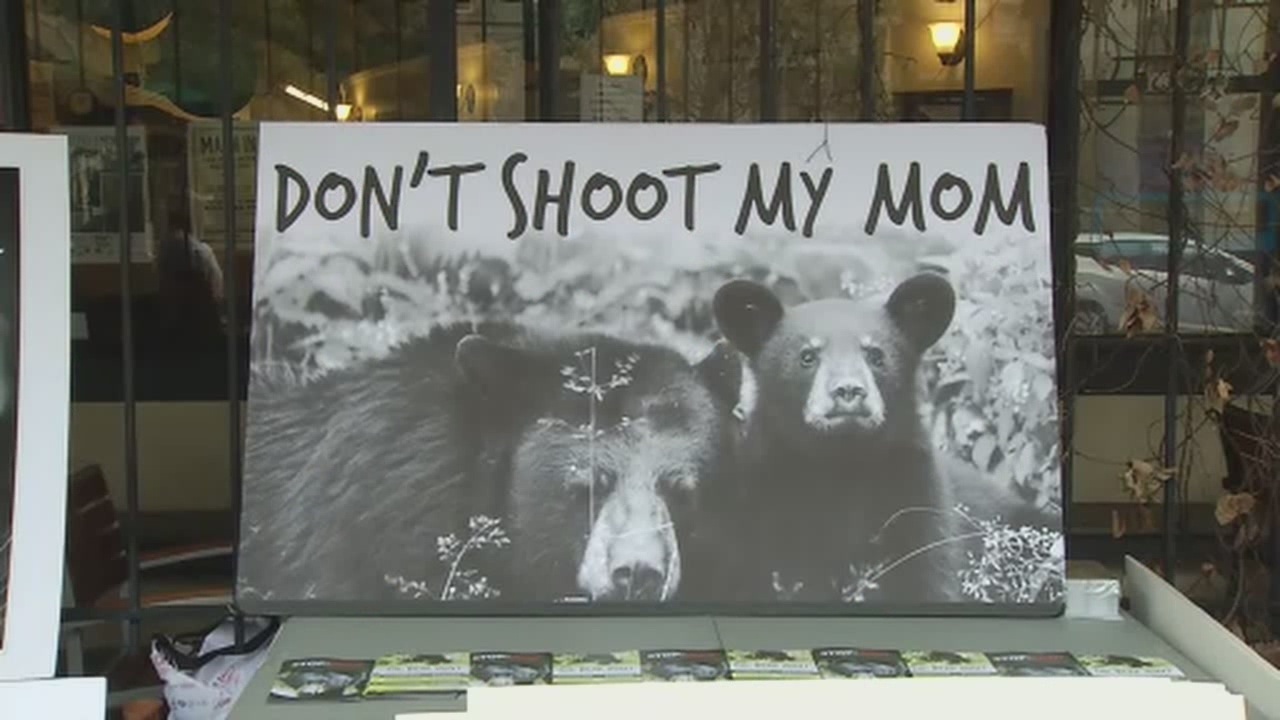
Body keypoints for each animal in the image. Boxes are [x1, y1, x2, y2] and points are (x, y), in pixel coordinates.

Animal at [710, 271, 1058, 605]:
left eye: (876, 355)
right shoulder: (766, 503)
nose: (848, 391)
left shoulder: (917, 495)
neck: (840, 463)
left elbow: (929, 573)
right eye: (807, 356)